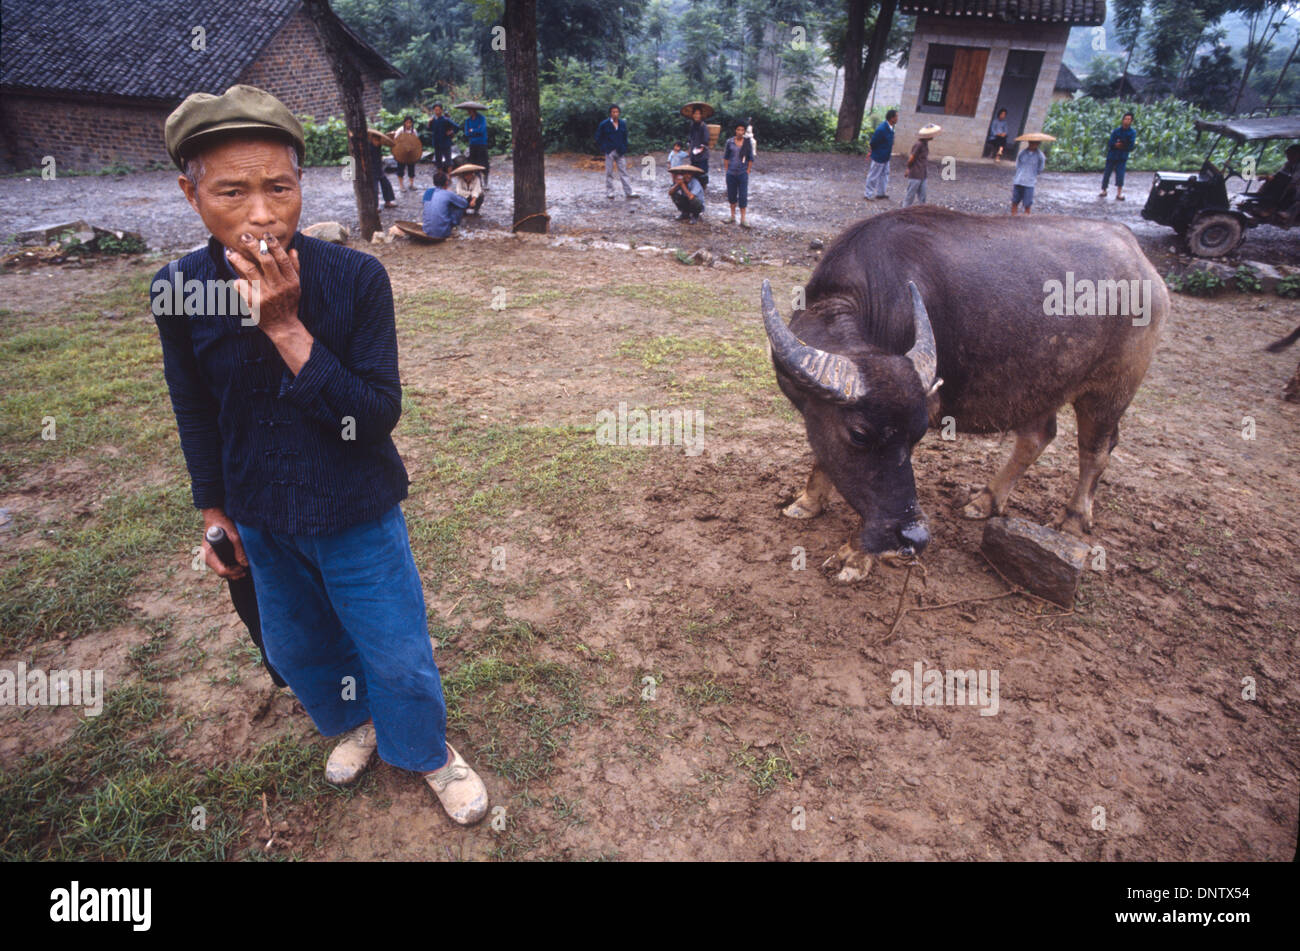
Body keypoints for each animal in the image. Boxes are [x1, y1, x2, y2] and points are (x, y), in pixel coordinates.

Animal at [764, 206, 1175, 579]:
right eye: (860, 435)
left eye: (917, 436)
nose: (914, 537)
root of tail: (1141, 262)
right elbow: (823, 458)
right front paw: (806, 502)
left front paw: (857, 555)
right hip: (1041, 384)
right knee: (1038, 437)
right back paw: (986, 500)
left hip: (1110, 392)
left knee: (1095, 451)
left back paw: (1073, 519)